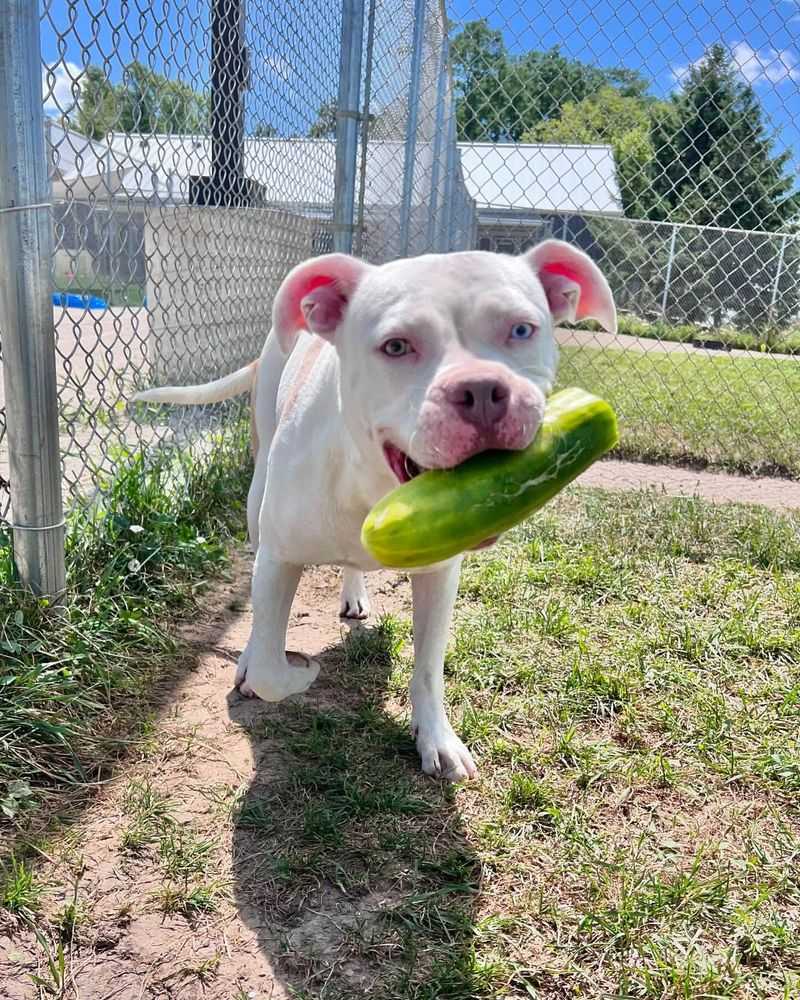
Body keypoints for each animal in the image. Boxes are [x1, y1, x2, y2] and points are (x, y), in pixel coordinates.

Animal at [136, 242, 612, 780]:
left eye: (522, 330)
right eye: (396, 346)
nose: (483, 391)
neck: (374, 489)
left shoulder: (440, 574)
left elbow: (428, 668)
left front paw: (436, 740)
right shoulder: (278, 557)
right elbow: (269, 666)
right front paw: (299, 672)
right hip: (258, 498)